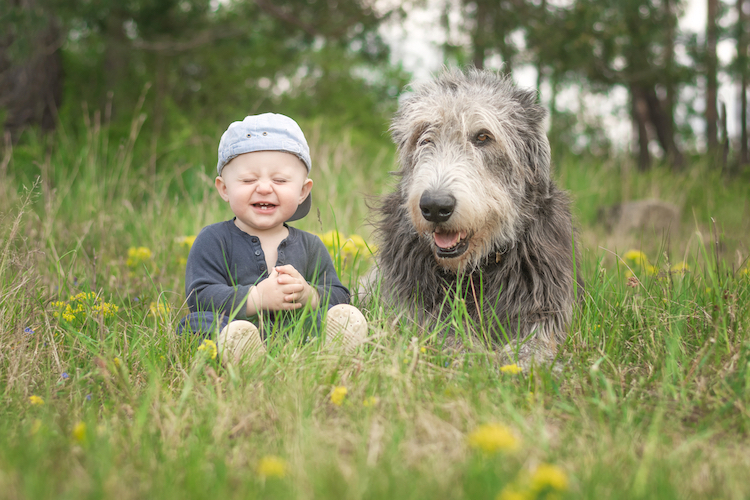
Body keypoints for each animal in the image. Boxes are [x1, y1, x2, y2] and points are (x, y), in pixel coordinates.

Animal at [374, 66, 584, 364]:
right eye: (424, 137)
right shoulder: (412, 307)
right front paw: (471, 355)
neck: (474, 271)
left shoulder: (544, 301)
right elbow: (443, 334)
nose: (435, 206)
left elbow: (537, 340)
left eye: (483, 137)